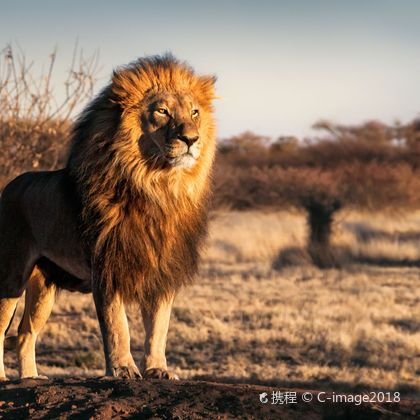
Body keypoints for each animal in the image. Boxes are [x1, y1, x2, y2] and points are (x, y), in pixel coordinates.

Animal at [0, 55, 217, 380]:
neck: (158, 186)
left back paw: (30, 378)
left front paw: (158, 369)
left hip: (43, 287)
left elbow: (159, 327)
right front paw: (122, 369)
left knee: (26, 334)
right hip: (11, 276)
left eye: (194, 112)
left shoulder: (163, 270)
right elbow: (117, 326)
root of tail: (8, 186)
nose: (191, 138)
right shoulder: (106, 266)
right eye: (162, 111)